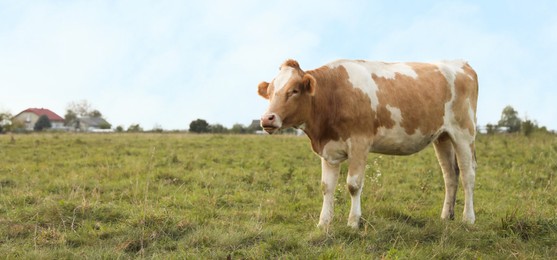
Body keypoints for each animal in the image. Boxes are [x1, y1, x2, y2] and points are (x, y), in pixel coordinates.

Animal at [256, 59, 478, 230]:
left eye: (293, 90)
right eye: (270, 91)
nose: (267, 118)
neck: (332, 95)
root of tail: (462, 64)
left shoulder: (359, 143)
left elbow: (353, 185)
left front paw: (353, 222)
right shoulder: (329, 150)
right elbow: (327, 187)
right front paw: (323, 223)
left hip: (464, 133)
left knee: (467, 175)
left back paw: (468, 218)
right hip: (443, 137)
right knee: (450, 175)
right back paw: (446, 216)